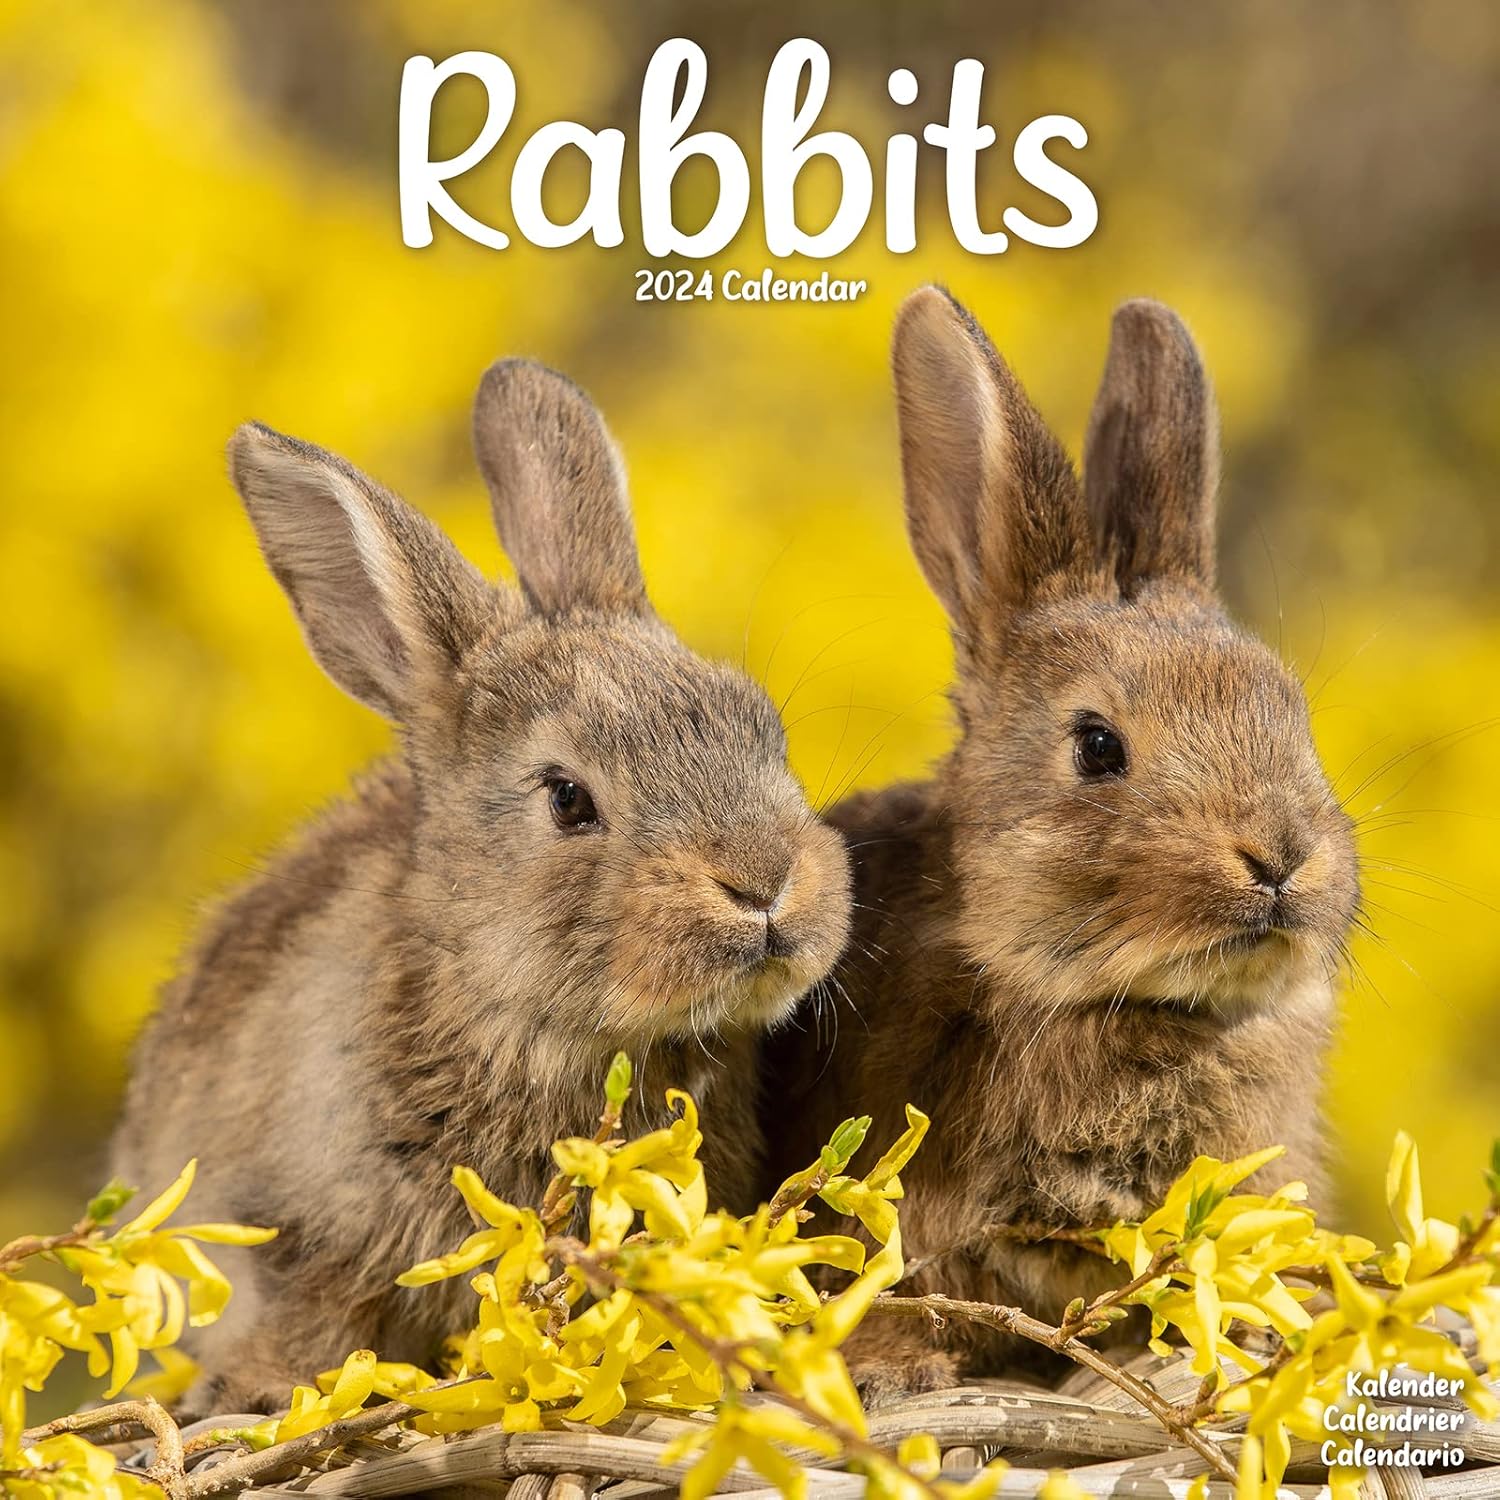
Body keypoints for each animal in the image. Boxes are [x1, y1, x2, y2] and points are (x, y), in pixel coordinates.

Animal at [112, 358, 851, 1415]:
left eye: (765, 731)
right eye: (568, 799)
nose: (763, 884)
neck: (521, 1012)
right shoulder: (295, 1239)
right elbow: (303, 1319)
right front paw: (262, 1396)